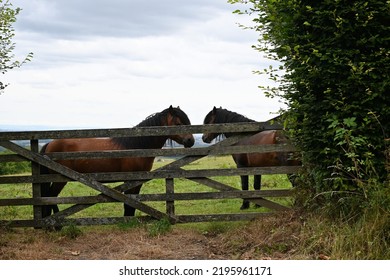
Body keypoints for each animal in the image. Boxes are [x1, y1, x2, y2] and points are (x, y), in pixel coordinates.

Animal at [39, 105, 195, 219]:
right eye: (178, 123)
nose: (191, 141)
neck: (136, 147)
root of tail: (49, 144)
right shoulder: (130, 180)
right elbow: (129, 204)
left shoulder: (138, 180)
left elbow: (132, 204)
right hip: (59, 179)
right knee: (50, 198)